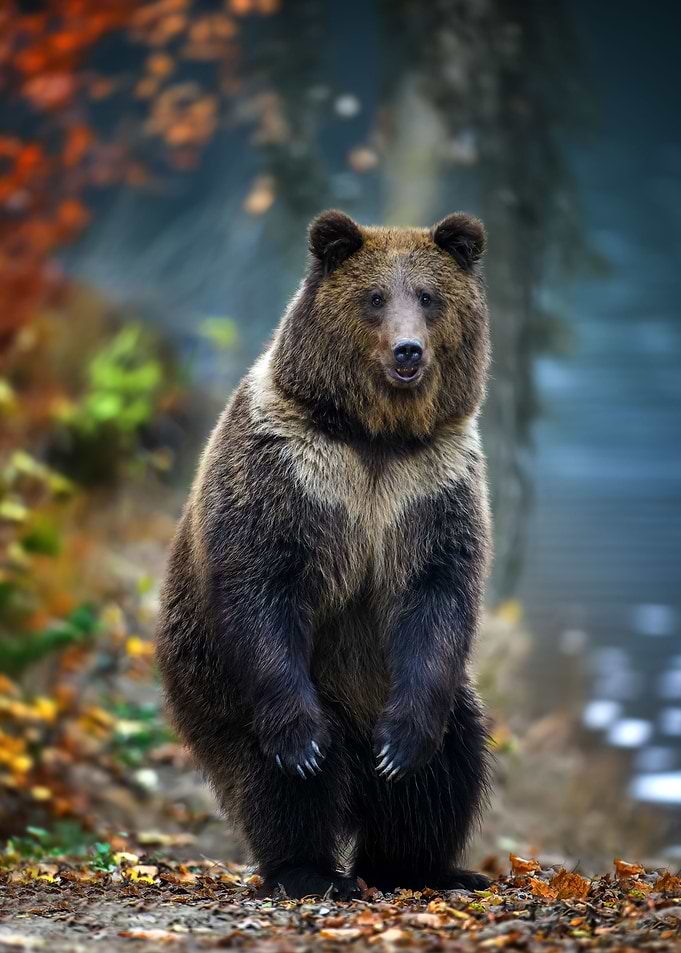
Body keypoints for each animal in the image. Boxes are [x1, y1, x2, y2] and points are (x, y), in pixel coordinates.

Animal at [156, 209, 493, 900]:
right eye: (374, 298)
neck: (375, 437)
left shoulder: (431, 485)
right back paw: (310, 869)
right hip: (222, 688)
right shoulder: (292, 472)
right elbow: (261, 582)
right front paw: (301, 748)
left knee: (451, 763)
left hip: (399, 689)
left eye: (429, 297)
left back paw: (424, 865)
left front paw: (403, 750)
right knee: (278, 783)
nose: (408, 351)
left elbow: (440, 590)